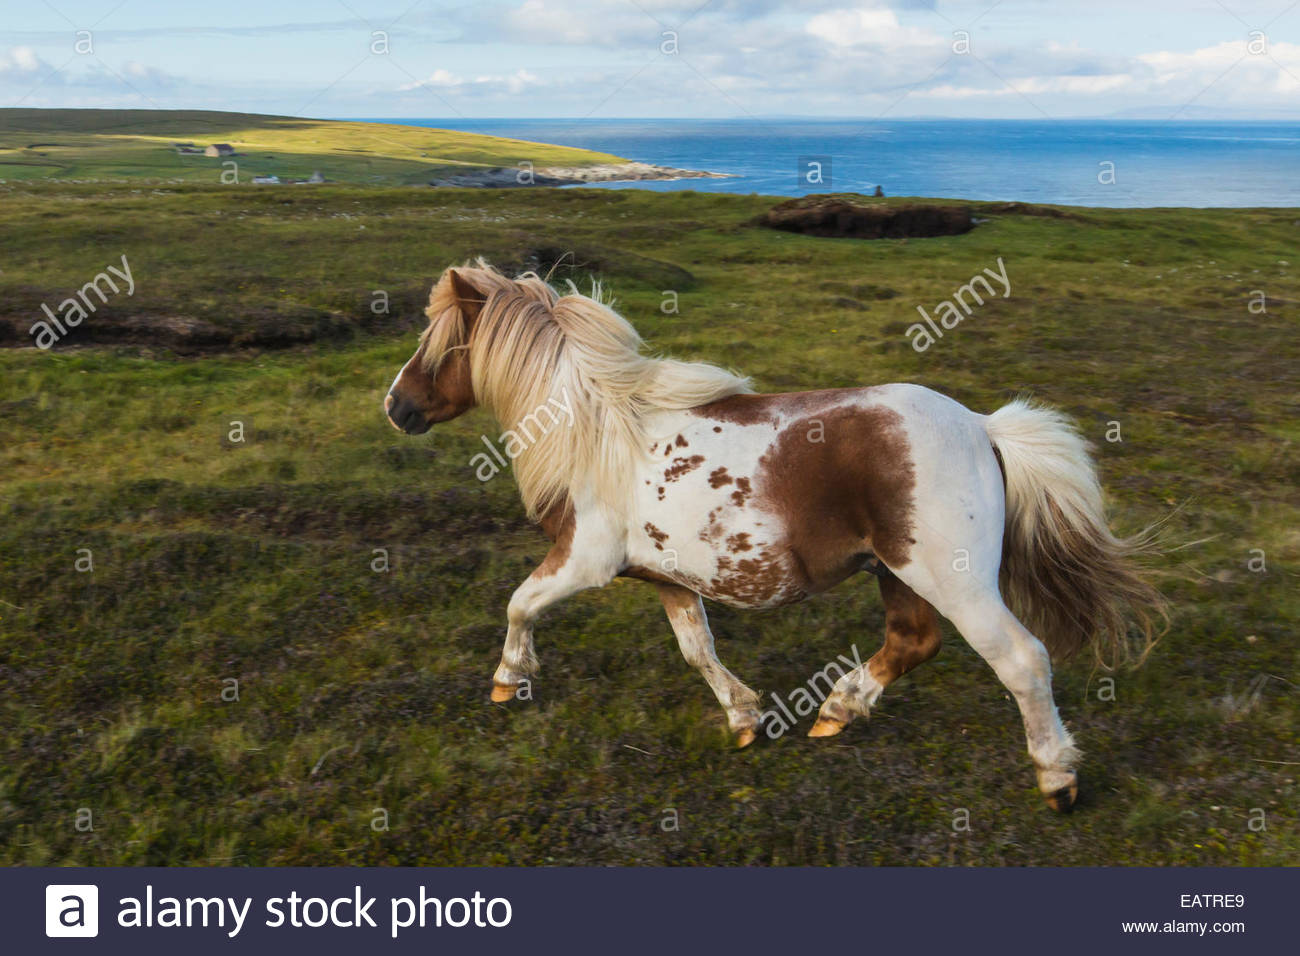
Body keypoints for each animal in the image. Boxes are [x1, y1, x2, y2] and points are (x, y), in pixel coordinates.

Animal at [379, 265, 1164, 811]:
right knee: (913, 643)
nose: (395, 407)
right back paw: (836, 712)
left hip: (956, 580)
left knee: (1022, 661)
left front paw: (508, 679)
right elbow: (697, 650)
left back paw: (1057, 779)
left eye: (437, 342)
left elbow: (519, 603)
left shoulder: (584, 559)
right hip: (897, 572)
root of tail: (982, 427)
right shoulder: (667, 579)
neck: (597, 431)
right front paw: (745, 717)